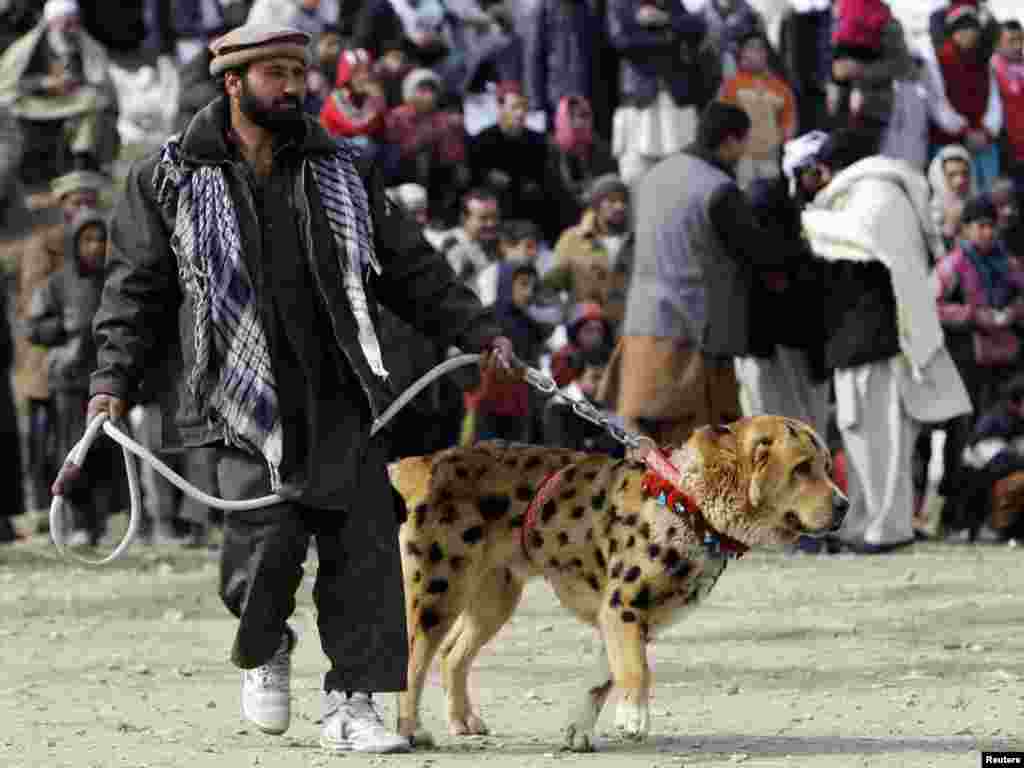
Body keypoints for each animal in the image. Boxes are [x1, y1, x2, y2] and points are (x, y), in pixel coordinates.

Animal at [387, 415, 843, 753]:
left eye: (824, 465)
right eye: (802, 468)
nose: (845, 504)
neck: (688, 500)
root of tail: (427, 463)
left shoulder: (627, 620)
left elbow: (602, 677)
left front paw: (579, 731)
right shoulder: (623, 608)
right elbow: (636, 670)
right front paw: (634, 717)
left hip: (493, 600)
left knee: (452, 654)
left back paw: (462, 720)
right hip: (437, 594)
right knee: (413, 664)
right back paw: (410, 731)